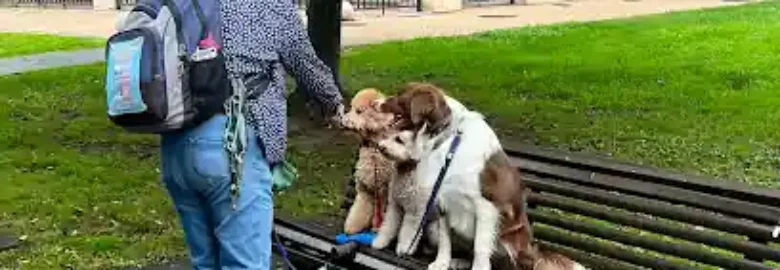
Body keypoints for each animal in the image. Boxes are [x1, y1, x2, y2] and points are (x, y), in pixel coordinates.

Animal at [342, 88, 400, 234]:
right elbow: (361, 209)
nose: (343, 122)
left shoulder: (385, 190)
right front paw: (352, 227)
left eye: (359, 111)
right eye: (351, 107)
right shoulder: (367, 189)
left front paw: (378, 229)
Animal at [374, 82, 580, 270]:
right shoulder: (442, 199)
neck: (450, 141)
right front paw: (441, 263)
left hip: (511, 240)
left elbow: (481, 247)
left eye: (400, 95)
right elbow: (445, 239)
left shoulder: (486, 205)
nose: (377, 102)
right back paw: (458, 261)